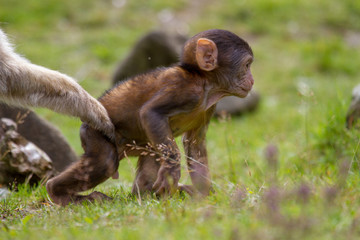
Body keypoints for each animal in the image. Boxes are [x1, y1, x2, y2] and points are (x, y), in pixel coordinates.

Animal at [46, 29, 255, 205]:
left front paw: (202, 194)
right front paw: (172, 170)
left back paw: (148, 194)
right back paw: (58, 193)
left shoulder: (209, 107)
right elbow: (151, 113)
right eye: (246, 65)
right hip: (94, 131)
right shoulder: (185, 89)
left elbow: (195, 144)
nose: (252, 80)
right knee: (105, 162)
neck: (205, 84)